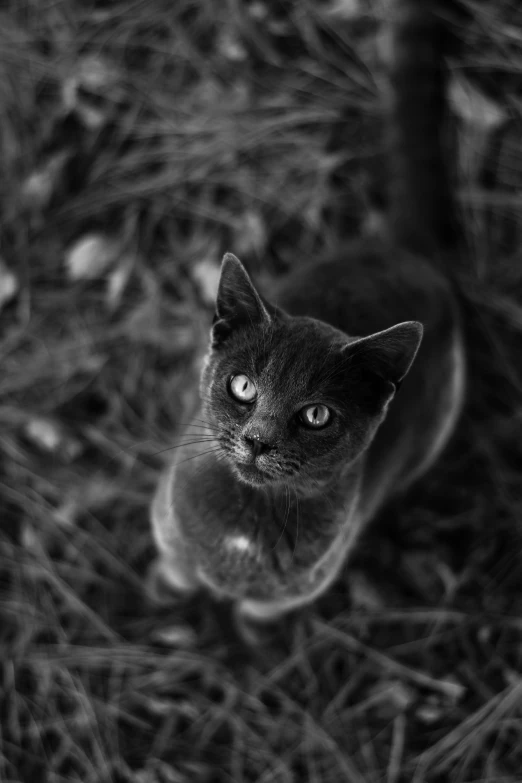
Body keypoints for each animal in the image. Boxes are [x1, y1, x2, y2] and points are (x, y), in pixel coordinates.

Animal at [146, 0, 464, 632]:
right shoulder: (168, 523)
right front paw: (165, 595)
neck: (244, 526)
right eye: (243, 385)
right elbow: (176, 569)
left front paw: (244, 635)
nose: (258, 440)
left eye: (317, 415)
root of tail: (403, 248)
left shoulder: (299, 585)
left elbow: (257, 615)